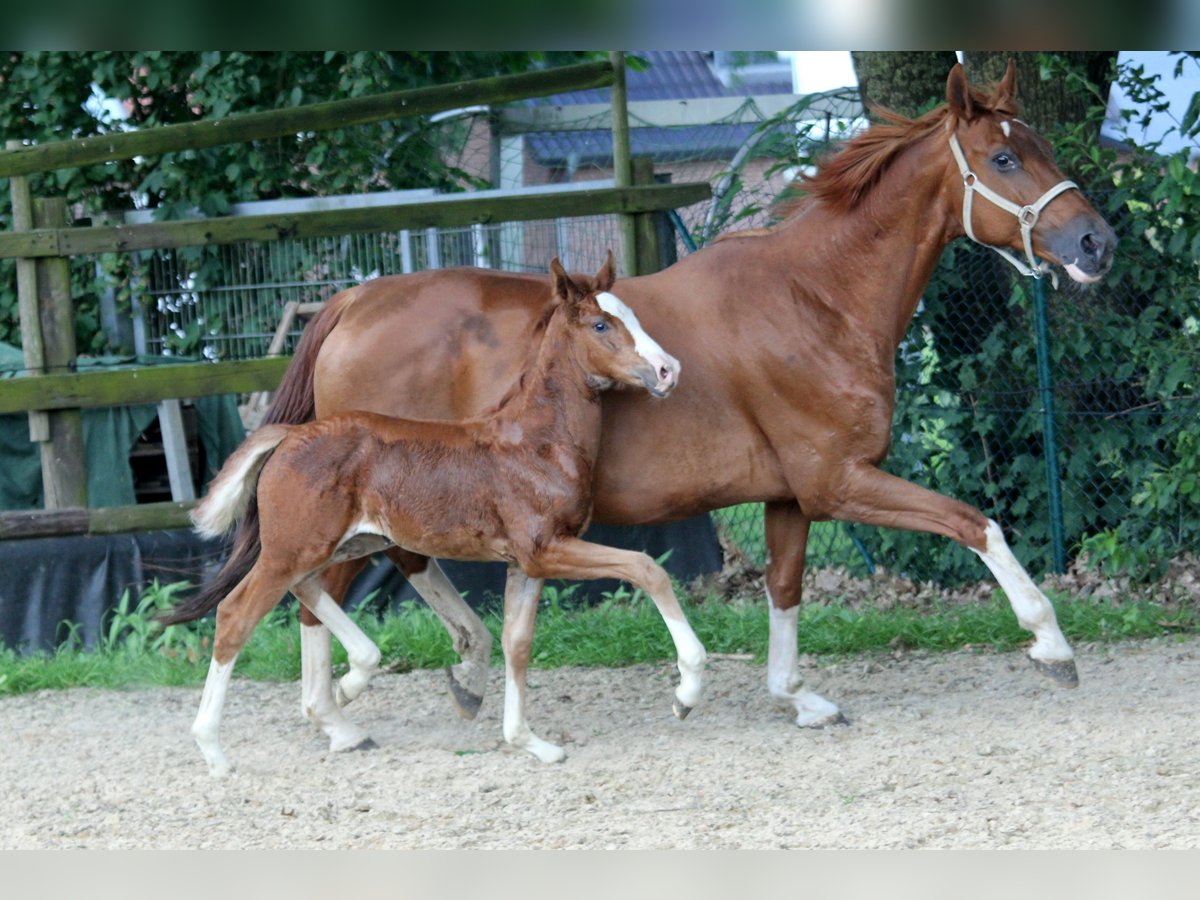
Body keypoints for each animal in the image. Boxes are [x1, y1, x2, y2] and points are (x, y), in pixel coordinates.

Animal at [182, 255, 700, 777]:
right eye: (600, 324)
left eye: (633, 316)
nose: (667, 369)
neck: (538, 439)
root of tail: (290, 435)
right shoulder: (546, 549)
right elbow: (646, 569)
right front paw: (688, 689)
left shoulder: (528, 563)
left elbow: (517, 644)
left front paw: (530, 742)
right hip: (293, 547)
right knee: (236, 614)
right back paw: (214, 750)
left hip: (344, 543)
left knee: (306, 589)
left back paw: (351, 684)